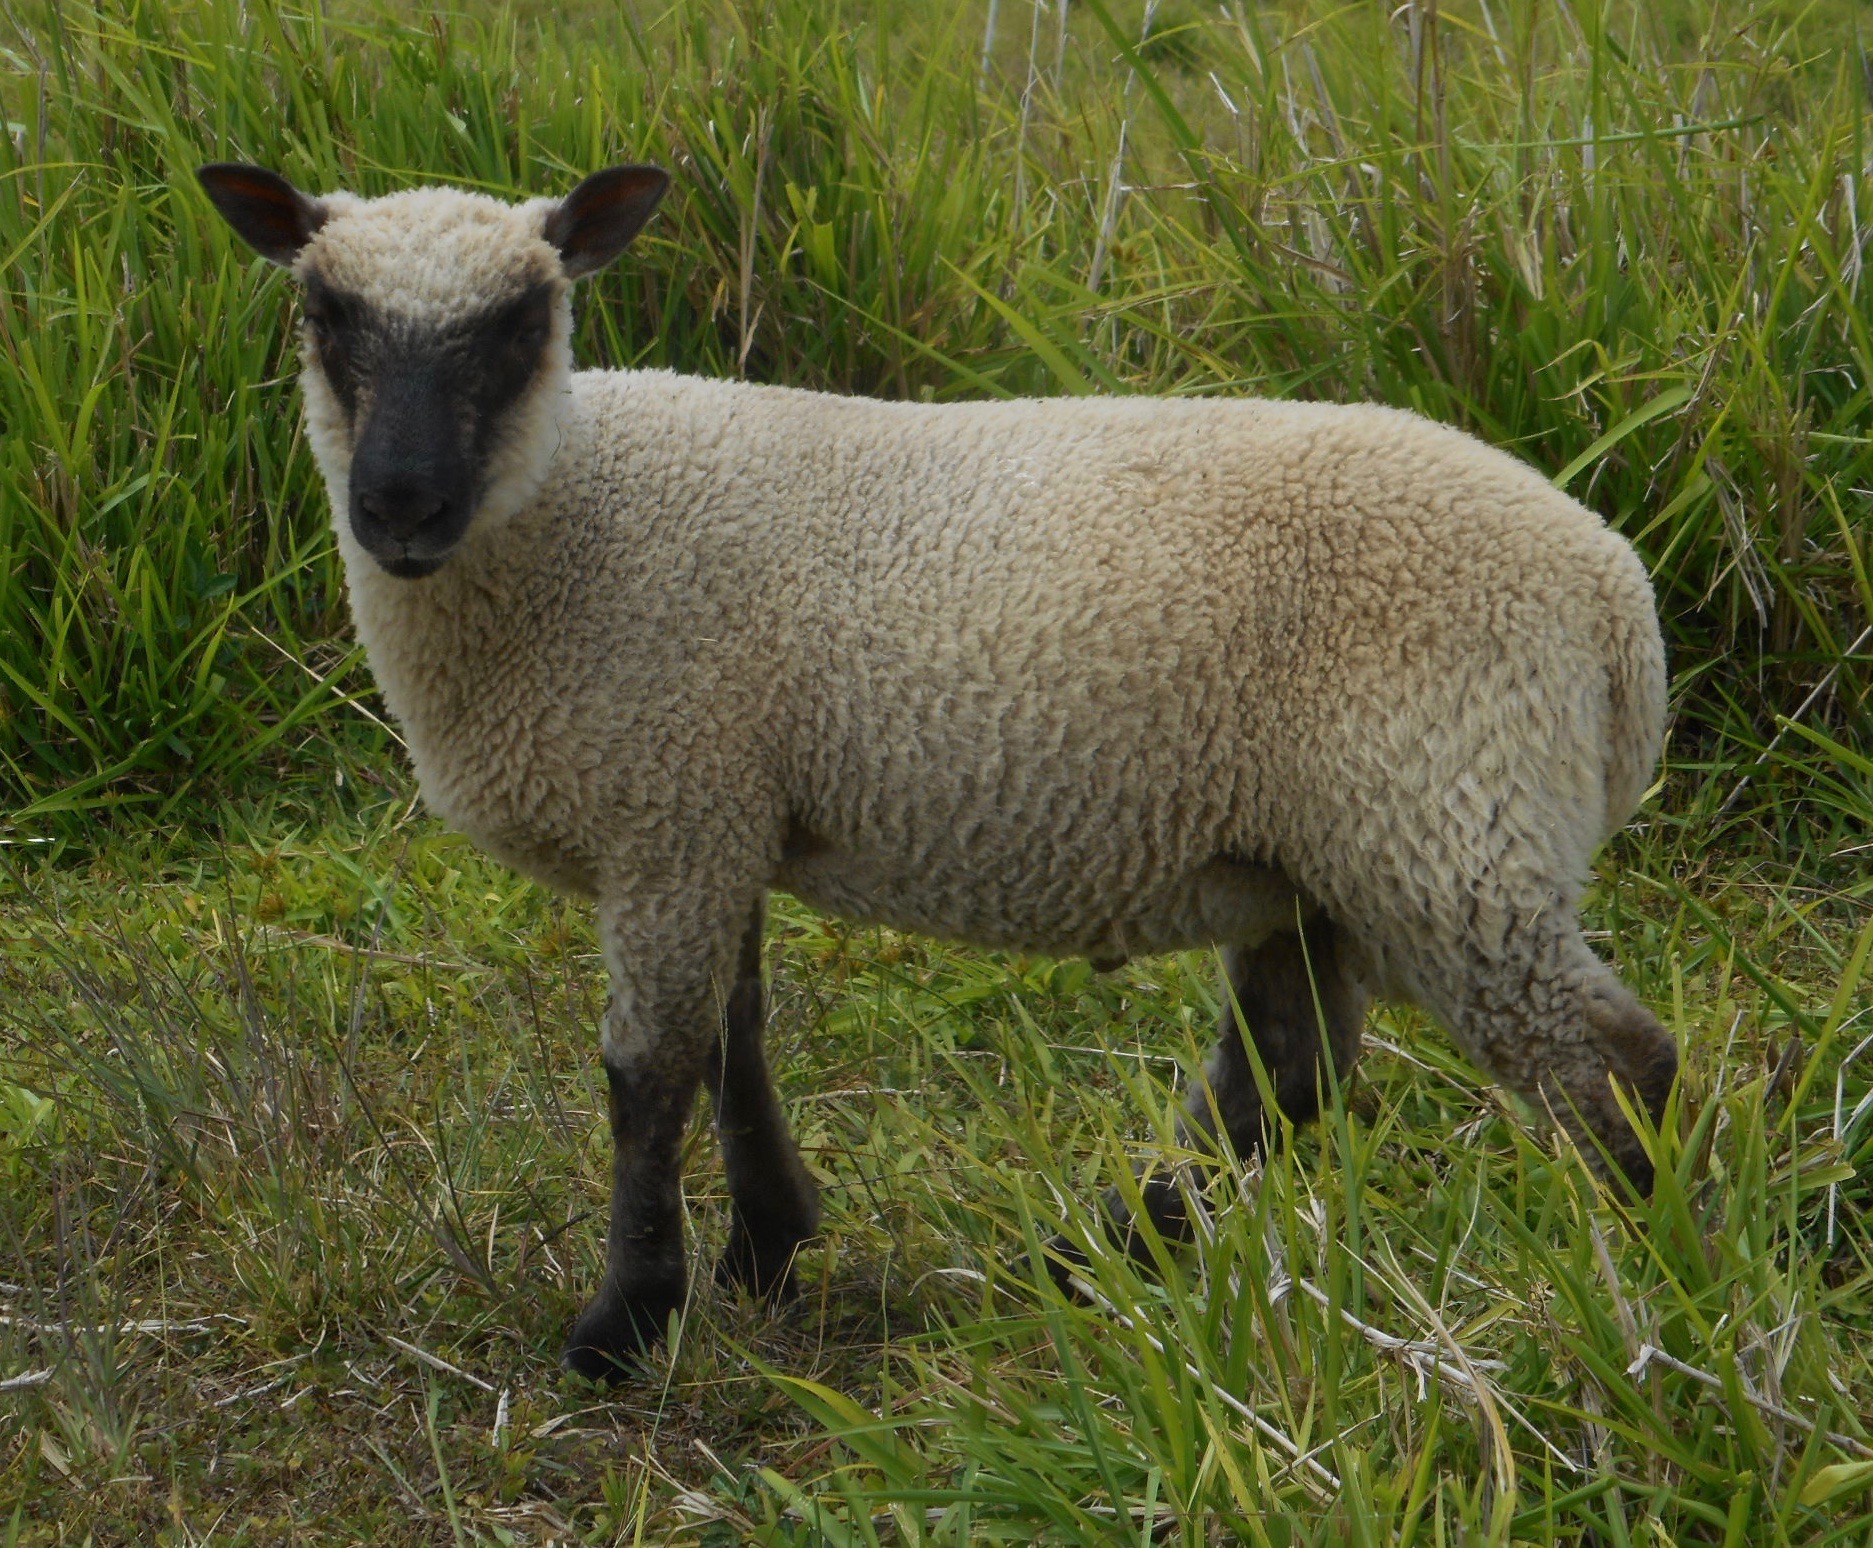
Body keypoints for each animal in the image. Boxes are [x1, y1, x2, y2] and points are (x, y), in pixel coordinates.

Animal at [196, 161, 1678, 1382]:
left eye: (520, 322)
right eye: (323, 313)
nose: (399, 507)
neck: (576, 515)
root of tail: (1618, 613)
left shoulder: (669, 809)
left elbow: (647, 1072)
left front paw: (626, 1324)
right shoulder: (723, 809)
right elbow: (735, 1038)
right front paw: (766, 1252)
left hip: (1443, 823)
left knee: (1607, 1060)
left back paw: (1645, 1282)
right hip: (1319, 857)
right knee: (1282, 1080)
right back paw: (1094, 1260)